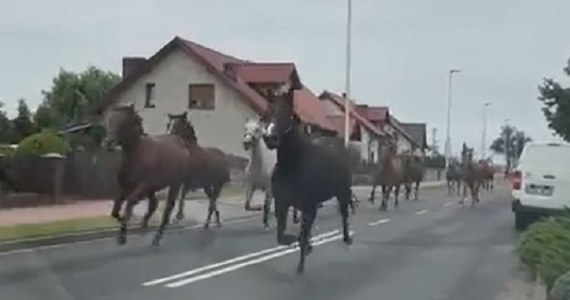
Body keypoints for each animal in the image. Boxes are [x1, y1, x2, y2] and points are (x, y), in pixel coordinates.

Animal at [104, 104, 200, 245]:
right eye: (110, 120)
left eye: (123, 122)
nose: (108, 143)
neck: (138, 153)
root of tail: (179, 141)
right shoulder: (123, 186)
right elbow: (115, 211)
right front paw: (122, 222)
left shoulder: (143, 185)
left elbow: (130, 202)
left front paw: (123, 234)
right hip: (154, 188)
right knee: (154, 203)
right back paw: (144, 225)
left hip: (174, 184)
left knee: (167, 208)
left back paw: (157, 236)